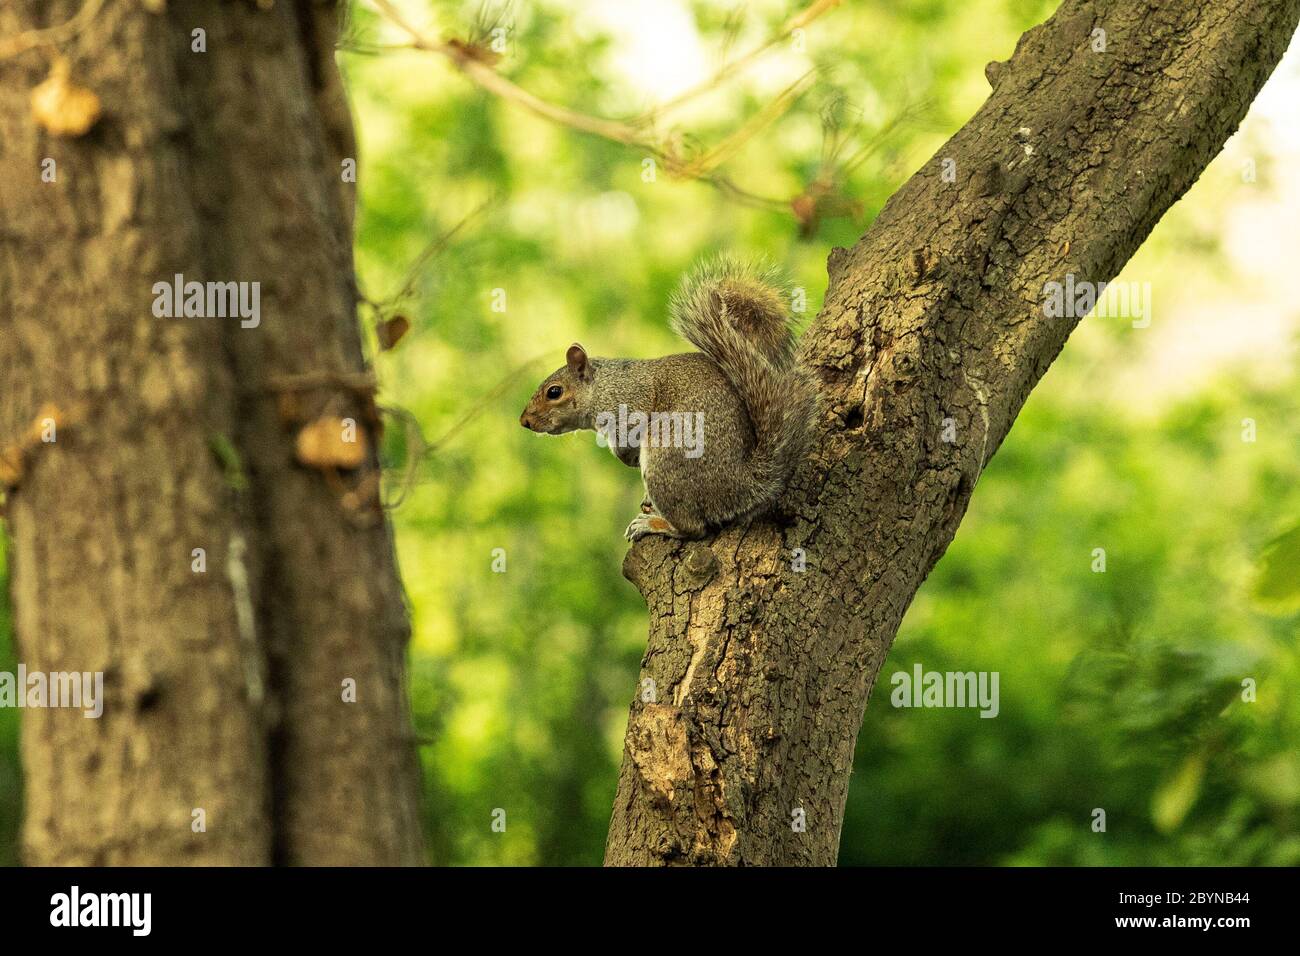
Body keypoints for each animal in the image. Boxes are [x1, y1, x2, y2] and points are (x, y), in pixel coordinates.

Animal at [519, 257, 818, 541]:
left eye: (554, 392)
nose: (524, 421)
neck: (603, 387)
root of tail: (742, 485)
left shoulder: (629, 403)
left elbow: (627, 439)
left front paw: (626, 457)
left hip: (665, 454)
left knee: (694, 529)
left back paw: (656, 524)